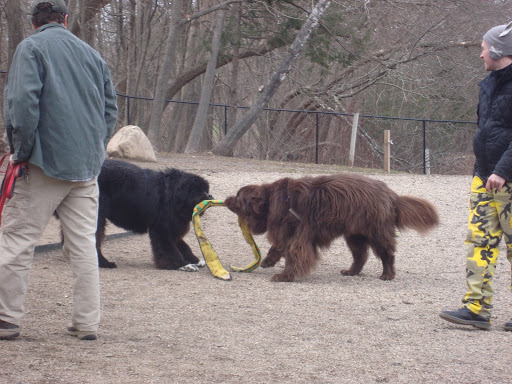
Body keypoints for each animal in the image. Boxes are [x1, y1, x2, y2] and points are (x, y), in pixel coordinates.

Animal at [225, 174, 440, 282]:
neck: (273, 201)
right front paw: (269, 261)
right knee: (360, 255)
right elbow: (277, 247)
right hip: (354, 234)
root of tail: (391, 194)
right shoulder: (288, 233)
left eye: (238, 196)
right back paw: (351, 272)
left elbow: (293, 255)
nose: (226, 198)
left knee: (387, 253)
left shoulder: (299, 237)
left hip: (376, 232)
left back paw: (387, 275)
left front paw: (285, 276)